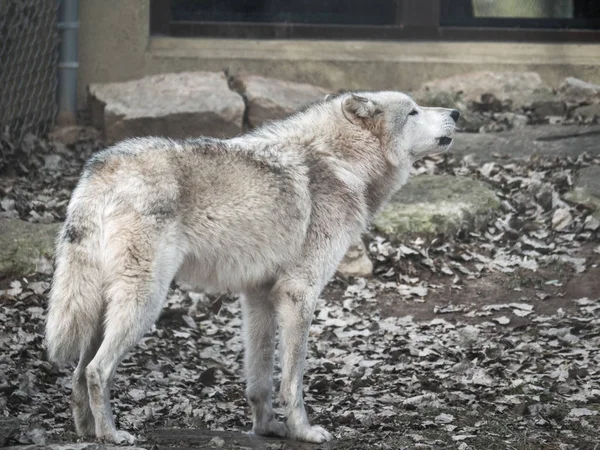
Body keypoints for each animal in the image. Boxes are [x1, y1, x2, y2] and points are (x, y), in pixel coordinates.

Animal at [45, 90, 460, 442]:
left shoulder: (258, 295)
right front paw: (303, 431)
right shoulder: (299, 293)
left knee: (79, 372)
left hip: (104, 307)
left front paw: (267, 428)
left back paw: (86, 431)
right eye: (413, 111)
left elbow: (260, 377)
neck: (340, 162)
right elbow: (292, 379)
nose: (456, 112)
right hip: (145, 302)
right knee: (96, 370)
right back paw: (111, 435)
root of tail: (102, 166)